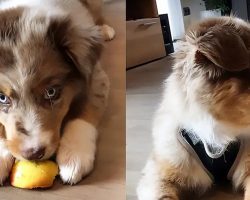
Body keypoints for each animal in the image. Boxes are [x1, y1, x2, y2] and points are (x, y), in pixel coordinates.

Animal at [0, 0, 112, 184]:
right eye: (2, 98)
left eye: (51, 92)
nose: (34, 154)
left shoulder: (94, 76)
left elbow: (83, 113)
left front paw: (74, 156)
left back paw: (103, 30)